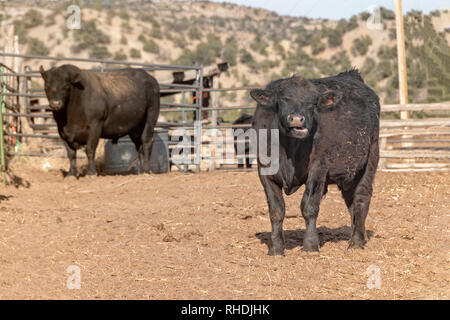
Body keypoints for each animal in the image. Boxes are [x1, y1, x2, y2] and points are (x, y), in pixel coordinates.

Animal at [250, 70, 380, 255]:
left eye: (312, 103)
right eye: (283, 99)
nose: (297, 119)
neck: (289, 149)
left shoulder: (318, 168)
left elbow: (309, 207)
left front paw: (310, 246)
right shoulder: (265, 170)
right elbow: (276, 210)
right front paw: (276, 248)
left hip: (370, 158)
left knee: (362, 198)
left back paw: (356, 242)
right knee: (351, 202)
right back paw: (359, 235)